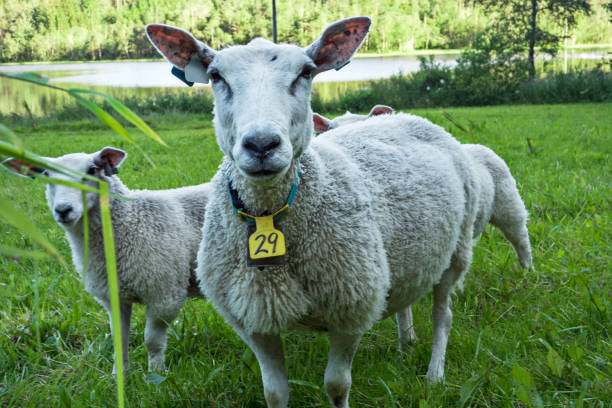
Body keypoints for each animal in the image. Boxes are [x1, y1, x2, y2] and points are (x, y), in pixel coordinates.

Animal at [3, 148, 212, 374]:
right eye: (47, 174)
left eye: (92, 170)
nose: (63, 210)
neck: (132, 221)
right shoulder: (114, 297)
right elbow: (118, 339)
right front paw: (120, 375)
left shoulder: (164, 296)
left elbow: (152, 341)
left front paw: (156, 374)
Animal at [147, 16, 524, 408]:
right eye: (216, 76)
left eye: (306, 72)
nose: (262, 144)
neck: (271, 215)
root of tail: (410, 117)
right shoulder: (253, 319)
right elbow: (274, 392)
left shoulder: (351, 308)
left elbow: (337, 385)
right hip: (401, 256)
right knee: (404, 299)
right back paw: (406, 343)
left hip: (456, 252)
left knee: (443, 315)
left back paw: (435, 373)